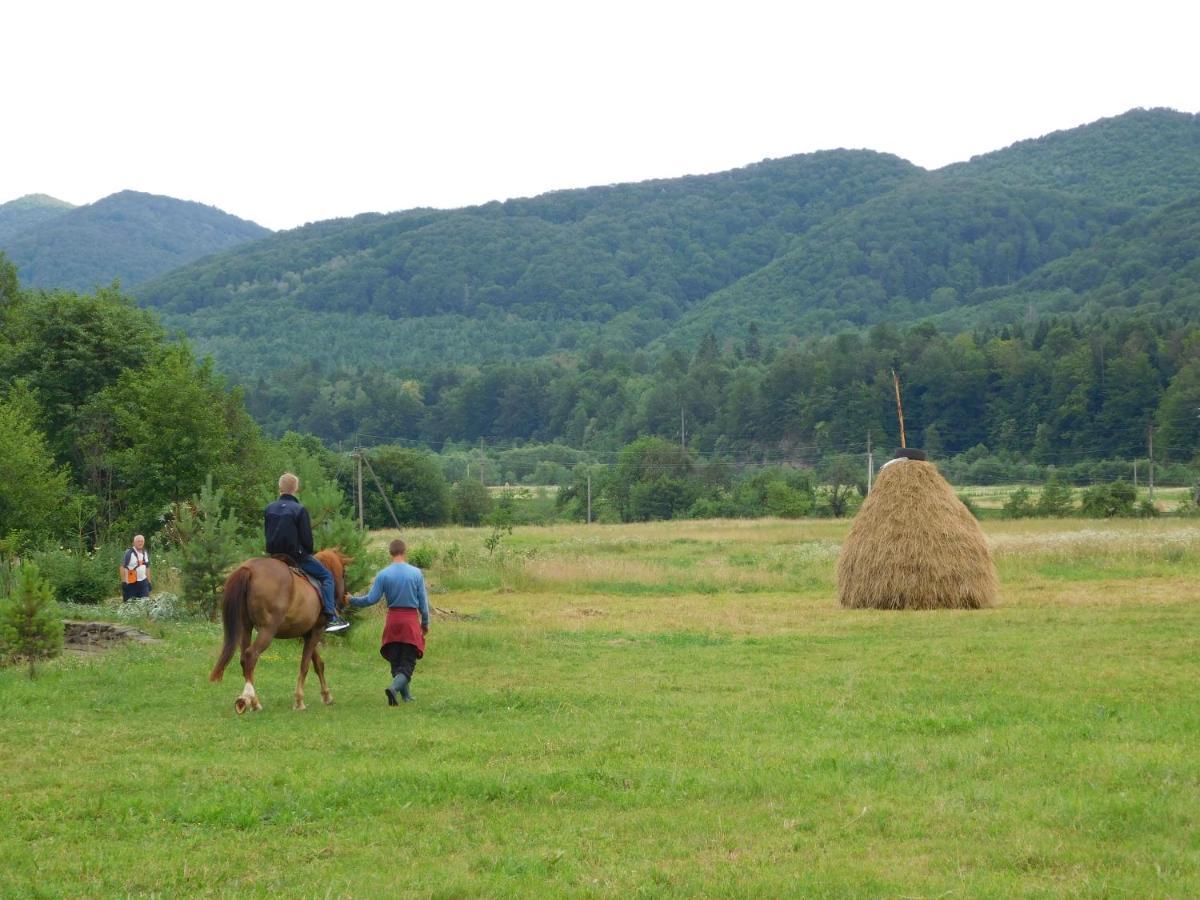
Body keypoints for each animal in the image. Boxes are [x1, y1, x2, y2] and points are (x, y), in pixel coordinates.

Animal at [208, 547, 350, 715]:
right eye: (344, 573)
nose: (345, 598)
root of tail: (249, 569)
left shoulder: (307, 633)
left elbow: (318, 664)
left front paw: (327, 696)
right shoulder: (317, 630)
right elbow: (305, 665)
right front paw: (299, 701)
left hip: (246, 627)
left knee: (244, 658)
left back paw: (252, 700)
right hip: (267, 630)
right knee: (251, 655)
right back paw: (250, 700)